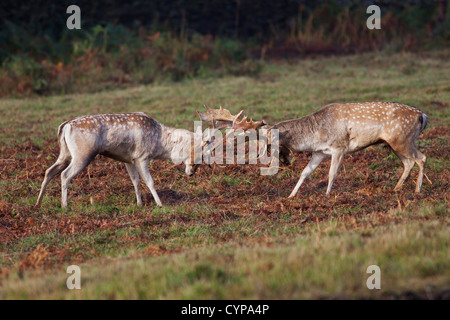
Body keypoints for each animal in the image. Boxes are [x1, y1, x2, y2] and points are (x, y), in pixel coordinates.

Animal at [36, 112, 210, 208]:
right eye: (201, 154)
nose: (192, 173)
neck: (159, 144)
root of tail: (64, 126)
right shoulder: (141, 156)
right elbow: (150, 181)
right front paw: (160, 204)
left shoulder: (129, 159)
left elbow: (135, 181)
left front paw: (139, 203)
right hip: (82, 154)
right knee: (65, 175)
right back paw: (64, 205)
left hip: (65, 154)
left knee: (49, 171)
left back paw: (38, 203)